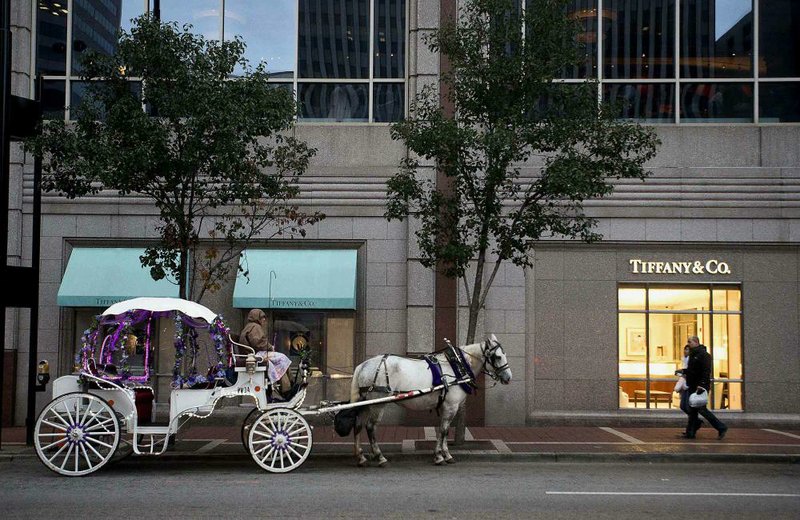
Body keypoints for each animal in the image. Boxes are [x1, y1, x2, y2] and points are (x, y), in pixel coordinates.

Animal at [348, 336, 512, 466]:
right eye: (498, 357)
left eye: (504, 354)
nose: (508, 377)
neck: (457, 366)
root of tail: (363, 365)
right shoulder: (451, 406)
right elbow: (444, 430)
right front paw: (440, 456)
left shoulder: (447, 407)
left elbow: (443, 430)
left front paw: (445, 454)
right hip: (378, 403)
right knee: (370, 427)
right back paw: (380, 457)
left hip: (365, 403)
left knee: (357, 425)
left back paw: (361, 457)